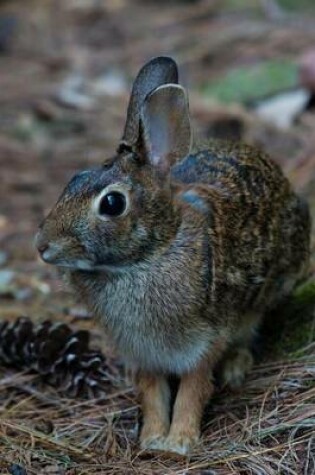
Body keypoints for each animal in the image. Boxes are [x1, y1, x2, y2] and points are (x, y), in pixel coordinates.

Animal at [36, 56, 312, 458]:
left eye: (112, 203)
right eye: (74, 179)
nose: (42, 245)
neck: (148, 255)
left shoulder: (204, 341)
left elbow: (192, 390)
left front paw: (179, 442)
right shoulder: (143, 354)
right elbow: (153, 393)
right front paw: (152, 439)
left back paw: (235, 369)